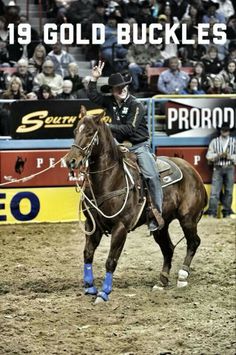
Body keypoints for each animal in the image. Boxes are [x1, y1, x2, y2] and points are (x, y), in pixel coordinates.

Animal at [66, 110, 206, 304]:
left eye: (89, 133)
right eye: (75, 131)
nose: (70, 161)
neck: (111, 178)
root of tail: (194, 173)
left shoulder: (121, 227)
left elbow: (111, 260)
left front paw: (104, 293)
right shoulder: (92, 225)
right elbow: (88, 253)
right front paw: (90, 287)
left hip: (188, 219)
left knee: (193, 242)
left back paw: (183, 275)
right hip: (160, 226)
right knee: (168, 248)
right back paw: (161, 281)